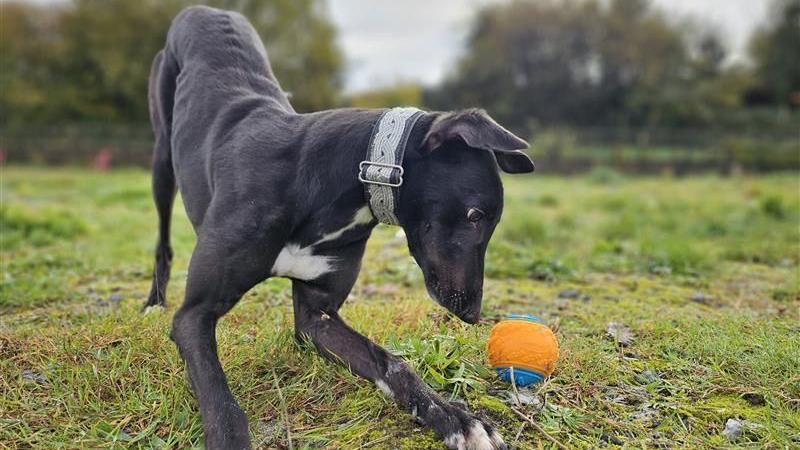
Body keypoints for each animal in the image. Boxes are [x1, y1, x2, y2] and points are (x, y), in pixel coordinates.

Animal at [147, 5, 536, 448]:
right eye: (475, 215)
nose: (472, 314)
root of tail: (204, 10)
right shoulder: (194, 316)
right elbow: (221, 401)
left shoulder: (317, 317)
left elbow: (393, 363)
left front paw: (456, 418)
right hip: (162, 159)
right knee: (162, 238)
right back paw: (153, 301)